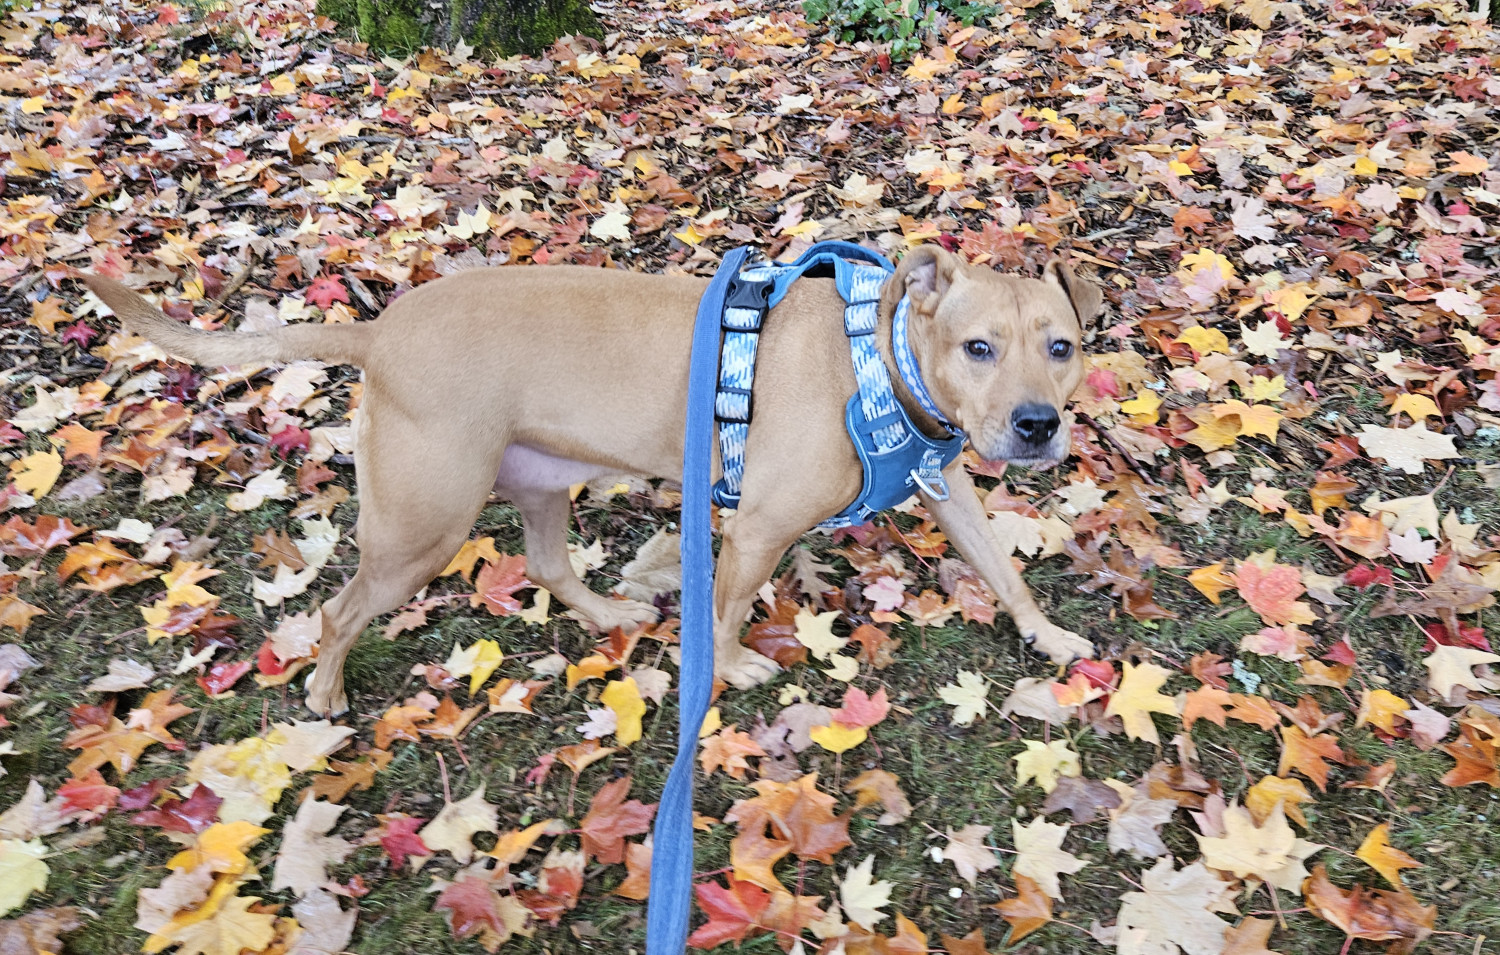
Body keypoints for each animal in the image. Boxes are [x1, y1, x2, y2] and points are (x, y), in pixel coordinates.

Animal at [82, 245, 1104, 713]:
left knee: (547, 565)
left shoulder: (953, 491)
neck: (882, 363)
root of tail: (380, 331)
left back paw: (611, 612)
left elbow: (1006, 573)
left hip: (536, 482)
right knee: (337, 612)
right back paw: (327, 694)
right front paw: (730, 665)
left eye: (1062, 347)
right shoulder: (756, 528)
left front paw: (1049, 635)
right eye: (978, 347)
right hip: (423, 525)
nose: (1037, 424)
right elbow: (728, 609)